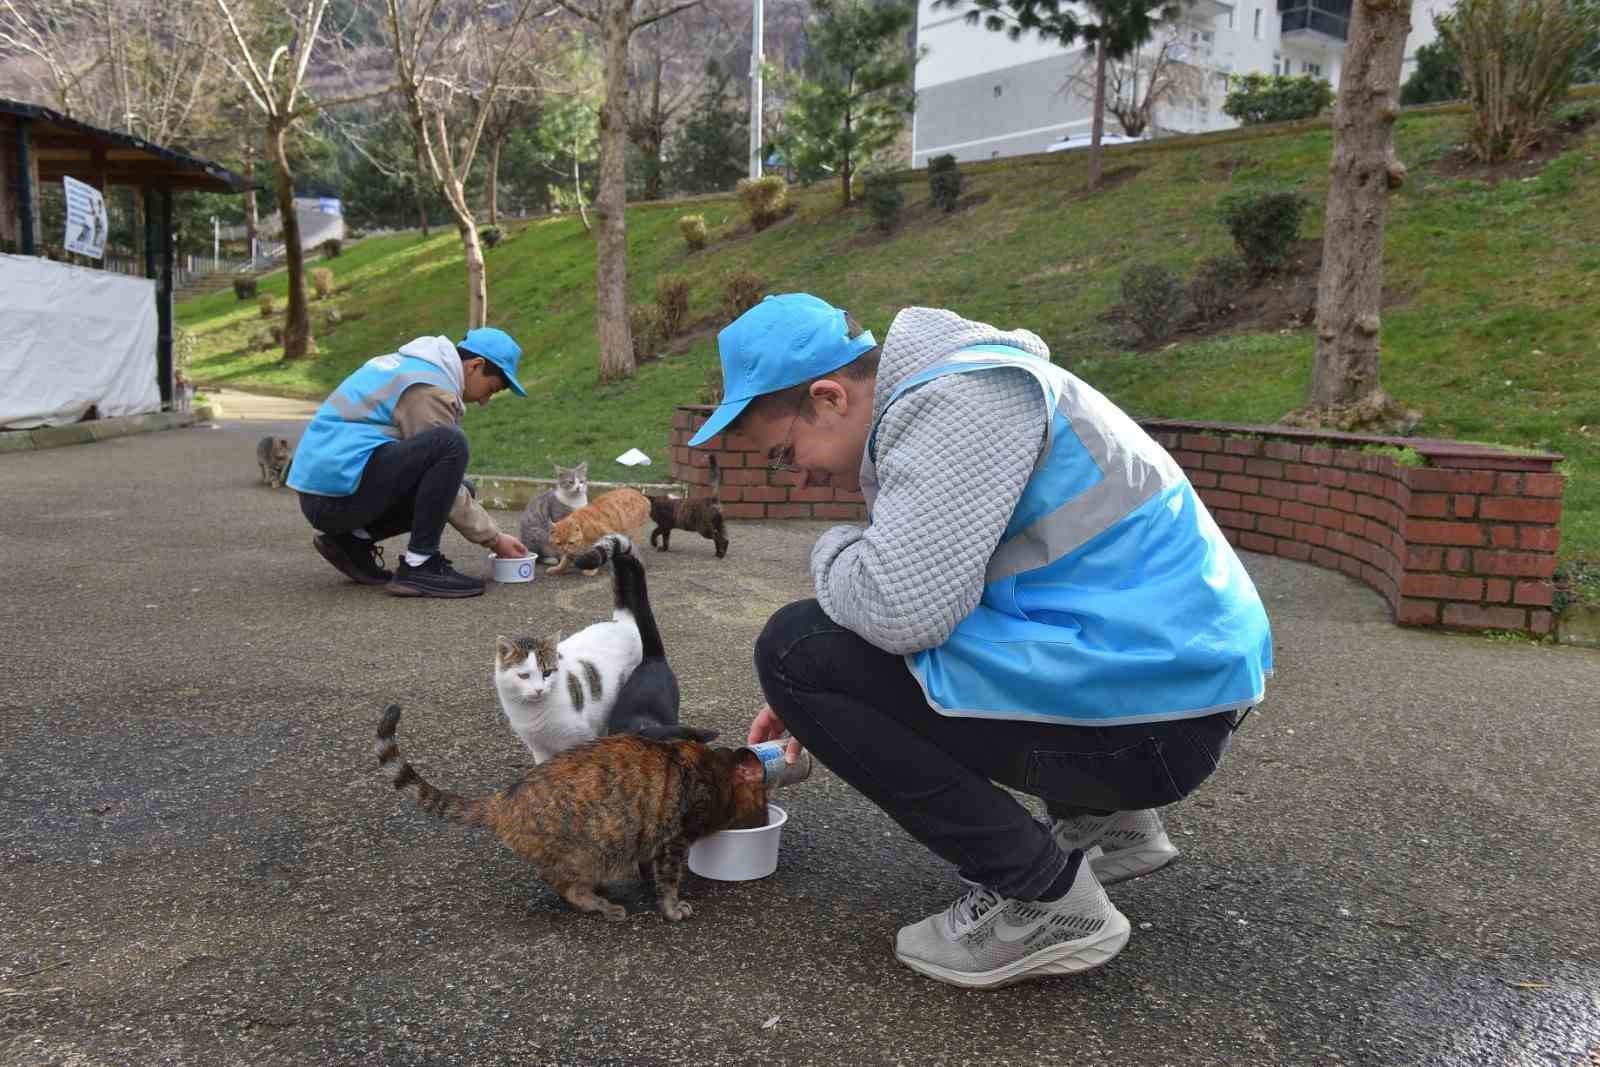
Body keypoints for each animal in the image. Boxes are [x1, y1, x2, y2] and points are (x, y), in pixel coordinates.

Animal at [377, 703, 771, 921]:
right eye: (763, 805)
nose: (766, 819)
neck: (712, 772)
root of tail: (503, 800)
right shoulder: (673, 839)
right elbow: (669, 881)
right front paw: (672, 907)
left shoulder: (652, 837)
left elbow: (649, 868)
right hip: (588, 850)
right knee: (563, 885)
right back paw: (600, 905)